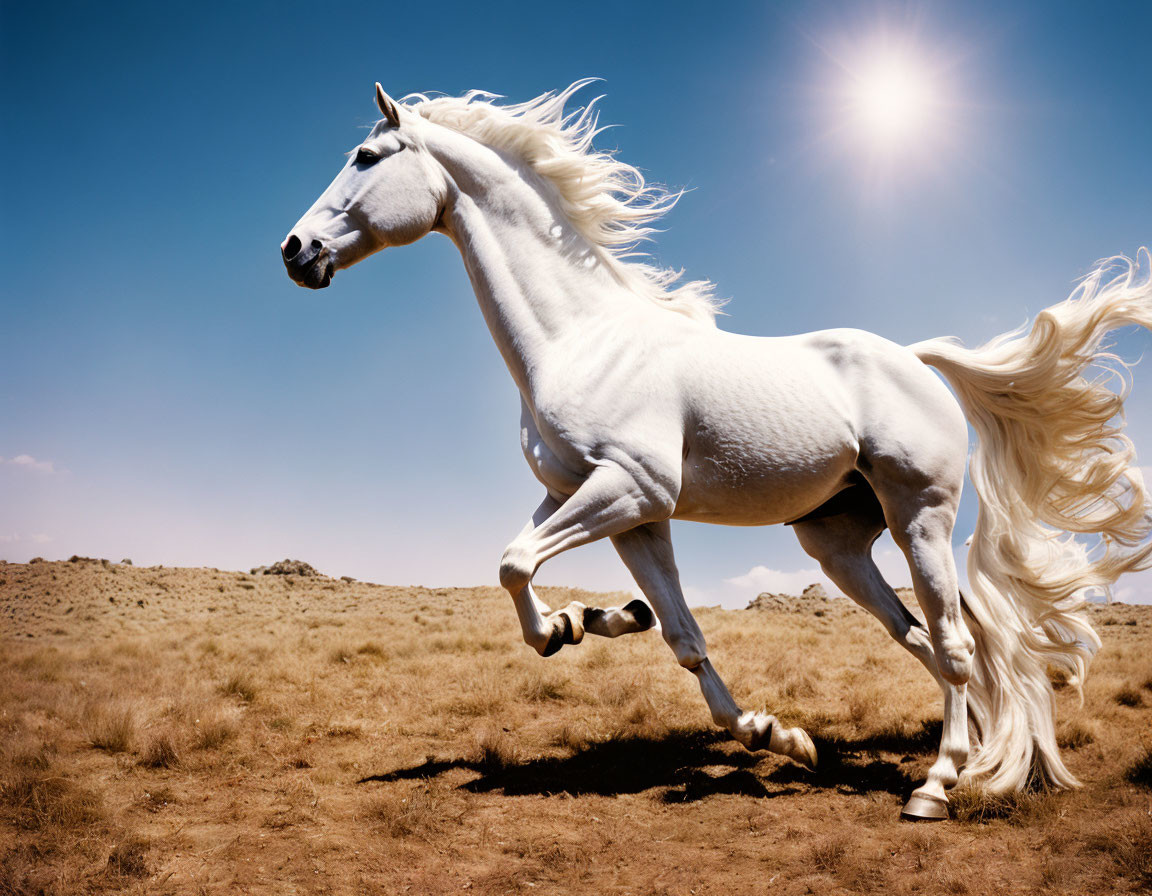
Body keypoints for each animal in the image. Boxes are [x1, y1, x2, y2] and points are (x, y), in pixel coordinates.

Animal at [283, 81, 1152, 815]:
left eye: (365, 157)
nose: (296, 251)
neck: (580, 337)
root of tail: (918, 361)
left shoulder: (632, 489)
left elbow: (515, 564)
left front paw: (575, 623)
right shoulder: (609, 505)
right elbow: (672, 634)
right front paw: (769, 729)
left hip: (921, 519)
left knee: (957, 643)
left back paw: (935, 787)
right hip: (836, 541)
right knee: (927, 641)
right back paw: (973, 763)